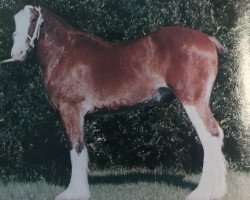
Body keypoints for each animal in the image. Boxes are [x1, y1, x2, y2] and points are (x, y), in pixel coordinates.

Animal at [1, 1, 229, 200]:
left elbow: (76, 148)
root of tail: (208, 39)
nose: (16, 52)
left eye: (33, 19)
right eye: (14, 20)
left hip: (192, 100)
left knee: (210, 136)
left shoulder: (71, 110)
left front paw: (75, 193)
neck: (64, 52)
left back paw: (203, 192)